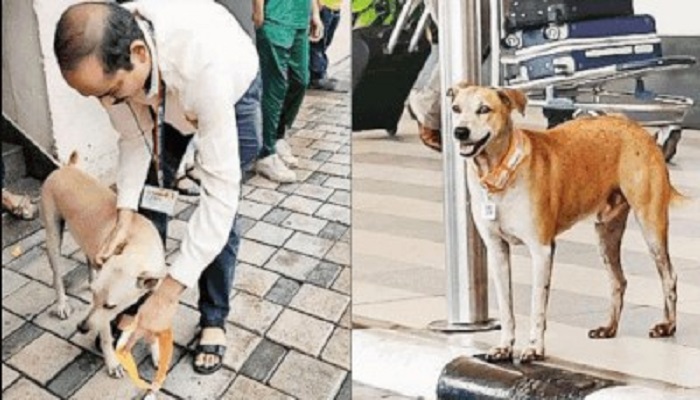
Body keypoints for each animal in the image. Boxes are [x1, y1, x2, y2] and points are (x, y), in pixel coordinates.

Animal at [40, 152, 167, 376]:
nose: (81, 328)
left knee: (89, 260)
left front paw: (156, 354)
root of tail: (66, 168)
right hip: (52, 236)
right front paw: (113, 363)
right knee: (56, 275)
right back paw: (62, 304)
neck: (138, 244)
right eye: (95, 297)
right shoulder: (104, 317)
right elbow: (107, 337)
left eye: (110, 305)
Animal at [448, 84, 684, 366]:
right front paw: (504, 347)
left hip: (651, 225)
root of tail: (638, 129)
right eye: (455, 109)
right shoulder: (497, 250)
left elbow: (537, 306)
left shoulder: (542, 250)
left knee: (669, 276)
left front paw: (534, 349)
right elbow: (506, 307)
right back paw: (609, 328)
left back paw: (667, 326)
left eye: (484, 109)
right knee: (619, 281)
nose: (459, 131)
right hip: (607, 233)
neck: (501, 173)